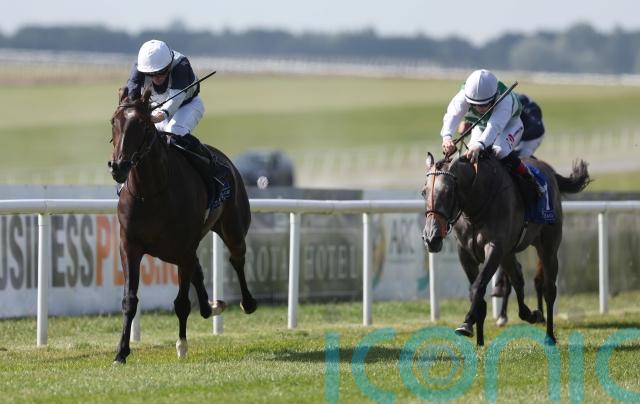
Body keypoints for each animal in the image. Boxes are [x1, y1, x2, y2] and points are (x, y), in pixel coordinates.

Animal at [108, 87, 257, 363]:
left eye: (143, 124)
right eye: (114, 121)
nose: (119, 167)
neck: (152, 193)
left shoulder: (184, 247)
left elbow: (181, 303)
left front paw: (182, 345)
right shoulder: (130, 245)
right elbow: (130, 299)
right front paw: (121, 351)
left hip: (232, 228)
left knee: (237, 258)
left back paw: (247, 302)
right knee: (200, 270)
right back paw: (213, 305)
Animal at [421, 152, 590, 346]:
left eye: (448, 192)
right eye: (423, 192)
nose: (431, 237)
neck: (476, 206)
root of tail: (549, 170)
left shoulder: (494, 248)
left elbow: (478, 286)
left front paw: (466, 324)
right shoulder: (465, 253)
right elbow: (477, 291)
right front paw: (478, 339)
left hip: (548, 247)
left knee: (548, 289)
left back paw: (549, 336)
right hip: (508, 254)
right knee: (518, 279)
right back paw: (530, 314)